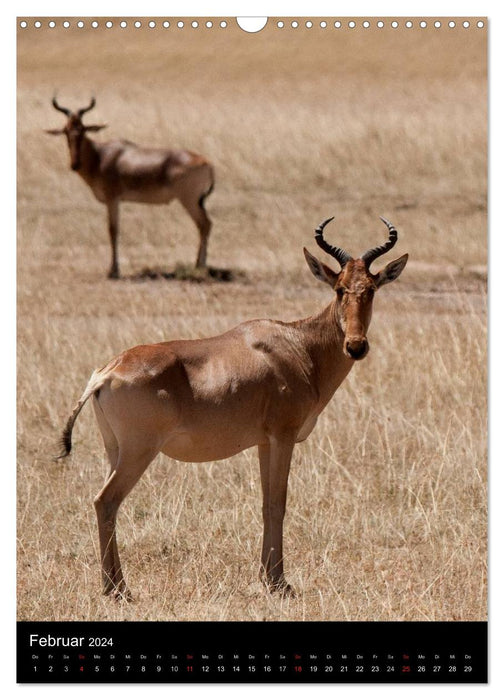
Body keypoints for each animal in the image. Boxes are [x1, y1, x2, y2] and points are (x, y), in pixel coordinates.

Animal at [46, 98, 214, 278]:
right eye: (66, 130)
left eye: (83, 130)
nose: (74, 165)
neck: (101, 155)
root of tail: (207, 162)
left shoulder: (113, 199)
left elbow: (113, 230)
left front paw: (113, 271)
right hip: (198, 201)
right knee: (205, 225)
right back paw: (199, 265)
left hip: (189, 201)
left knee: (204, 224)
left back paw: (200, 266)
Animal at [57, 216, 408, 600]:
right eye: (339, 289)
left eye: (371, 288)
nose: (356, 346)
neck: (297, 344)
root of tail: (107, 371)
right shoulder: (283, 436)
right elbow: (278, 502)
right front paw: (280, 583)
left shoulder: (264, 442)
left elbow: (266, 503)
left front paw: (268, 577)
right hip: (139, 450)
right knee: (106, 500)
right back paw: (118, 589)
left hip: (114, 449)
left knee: (106, 504)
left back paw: (113, 585)